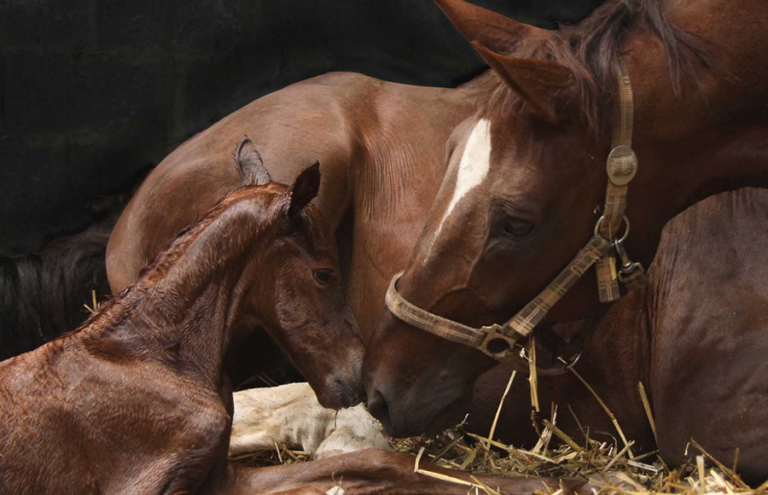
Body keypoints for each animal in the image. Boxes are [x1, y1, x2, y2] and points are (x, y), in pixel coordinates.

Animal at [0, 142, 584, 495]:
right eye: (324, 272)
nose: (358, 376)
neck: (148, 353)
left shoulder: (222, 478)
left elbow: (374, 463)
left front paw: (546, 483)